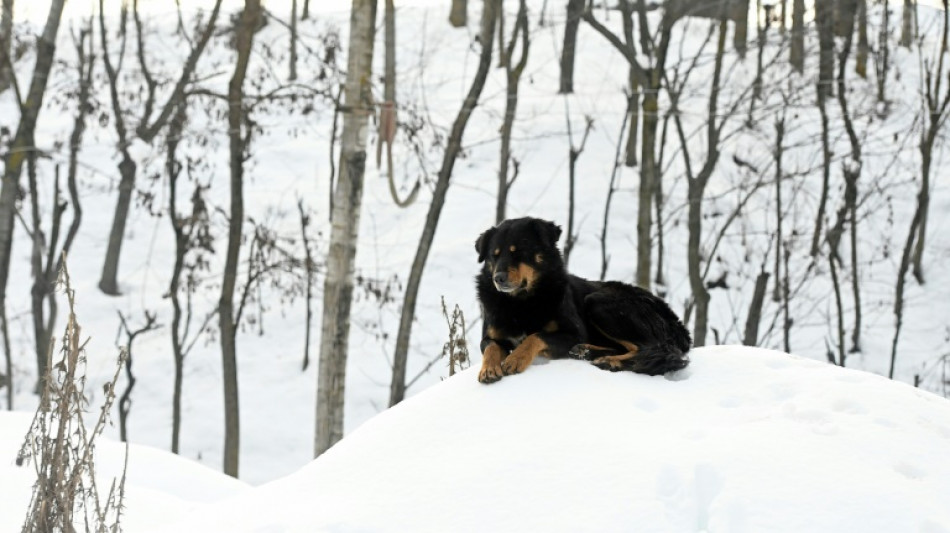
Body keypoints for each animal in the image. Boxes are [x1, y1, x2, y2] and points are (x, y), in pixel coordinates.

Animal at [476, 216, 692, 382]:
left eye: (519, 251)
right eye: (493, 255)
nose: (498, 278)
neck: (520, 301)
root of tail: (677, 323)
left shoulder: (574, 333)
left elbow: (535, 336)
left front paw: (516, 358)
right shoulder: (490, 336)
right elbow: (491, 347)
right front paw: (488, 369)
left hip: (598, 302)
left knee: (654, 349)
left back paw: (610, 361)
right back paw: (587, 351)